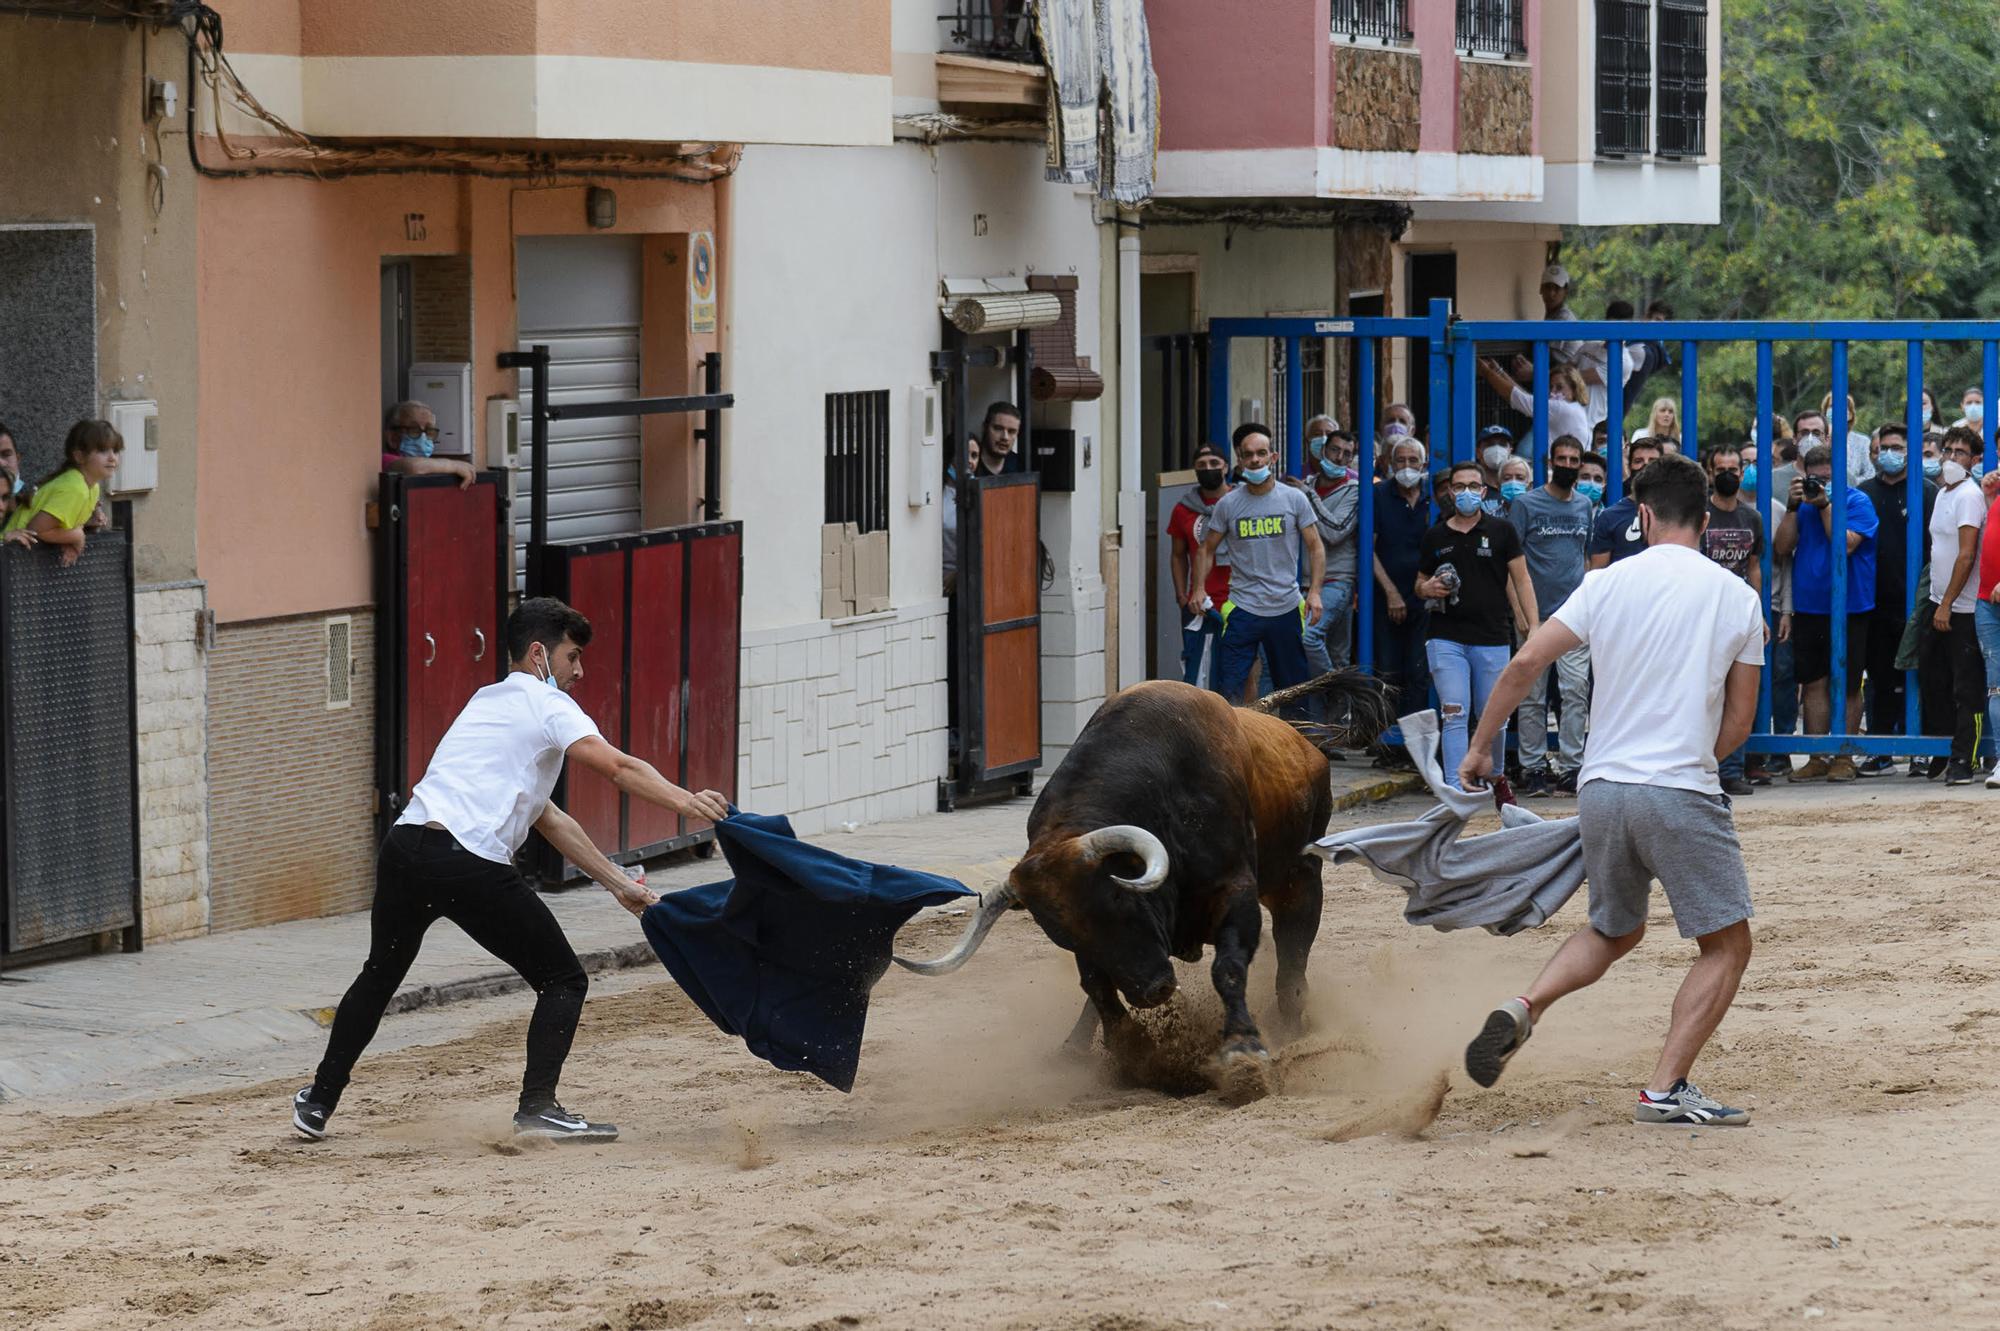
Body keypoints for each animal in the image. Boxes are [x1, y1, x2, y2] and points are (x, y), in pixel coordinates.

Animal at [896, 667, 1384, 1087]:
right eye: (1059, 932)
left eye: (1118, 901)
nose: (1155, 990)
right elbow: (1096, 985)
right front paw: (1131, 1050)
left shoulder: (1235, 892)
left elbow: (1228, 968)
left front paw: (1243, 1051)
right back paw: (1077, 1047)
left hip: (1299, 882)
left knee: (1292, 966)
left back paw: (1293, 1029)